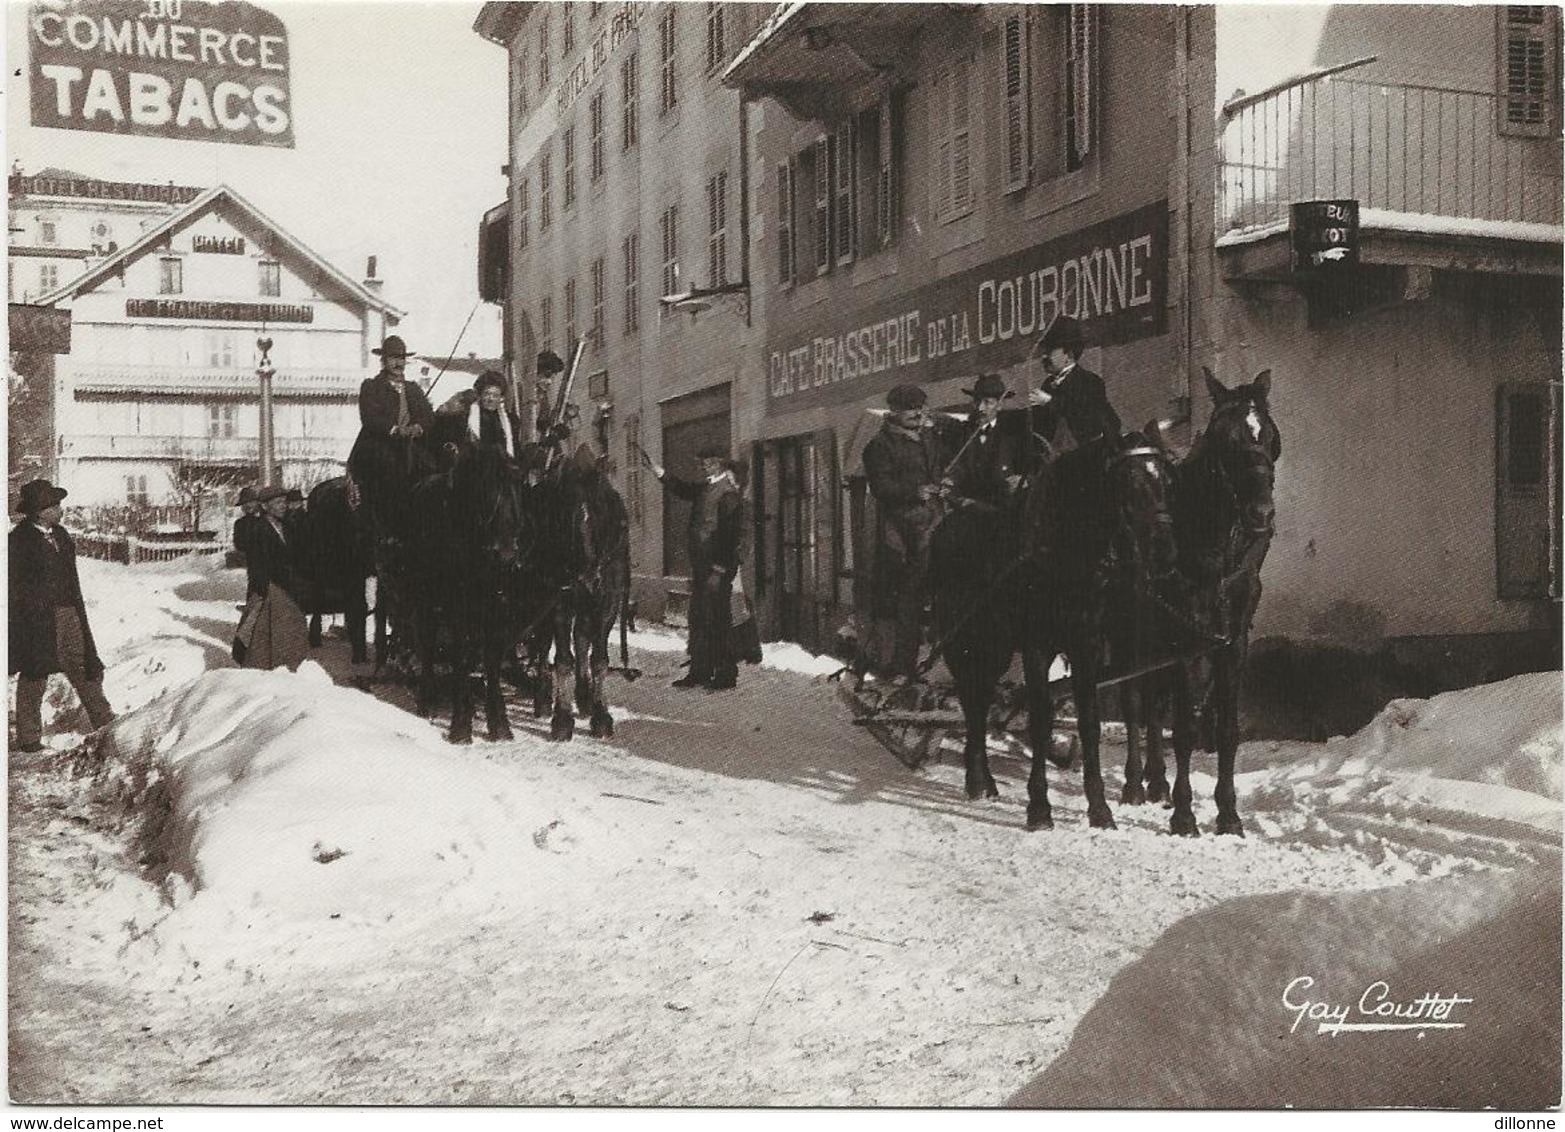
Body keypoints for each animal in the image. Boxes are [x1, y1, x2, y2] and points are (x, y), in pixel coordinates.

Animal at [535, 447, 626, 748]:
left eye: (601, 512)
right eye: (565, 518)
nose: (586, 580)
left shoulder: (607, 601)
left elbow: (598, 659)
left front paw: (601, 716)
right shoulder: (558, 602)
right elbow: (563, 659)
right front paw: (562, 720)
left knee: (582, 637)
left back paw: (584, 697)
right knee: (544, 645)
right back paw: (543, 698)